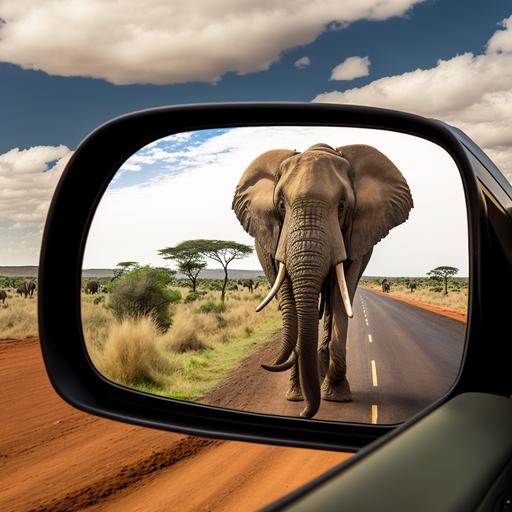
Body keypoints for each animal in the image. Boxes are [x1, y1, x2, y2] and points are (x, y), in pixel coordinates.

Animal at [232, 142, 412, 418]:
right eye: (281, 205)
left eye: (341, 207)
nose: (306, 414)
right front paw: (303, 394)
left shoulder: (356, 238)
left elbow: (341, 295)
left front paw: (337, 396)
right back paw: (298, 392)